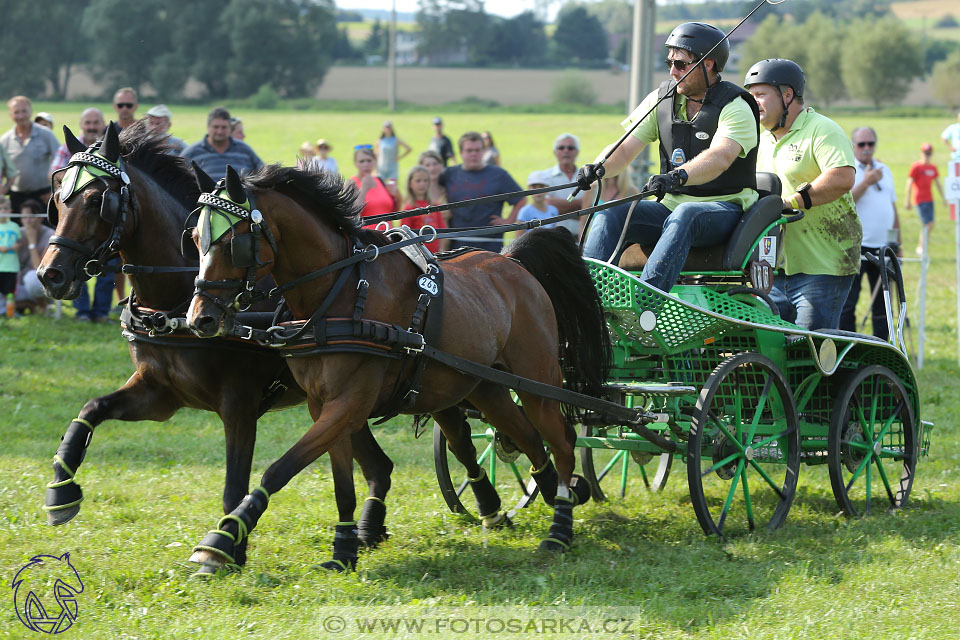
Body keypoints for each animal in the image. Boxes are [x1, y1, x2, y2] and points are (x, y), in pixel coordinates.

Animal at [36, 122, 416, 572]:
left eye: (98, 201)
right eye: (57, 199)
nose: (50, 274)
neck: (178, 299)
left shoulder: (239, 406)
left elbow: (235, 485)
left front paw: (224, 549)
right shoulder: (160, 395)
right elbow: (89, 410)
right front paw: (61, 491)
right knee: (379, 465)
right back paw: (367, 531)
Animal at [184, 165, 612, 568]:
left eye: (233, 242)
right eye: (195, 241)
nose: (200, 319)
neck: (340, 292)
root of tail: (512, 263)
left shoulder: (349, 403)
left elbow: (280, 468)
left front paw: (220, 540)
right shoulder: (323, 405)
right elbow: (342, 483)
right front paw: (344, 548)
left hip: (536, 381)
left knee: (562, 442)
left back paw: (559, 529)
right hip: (486, 388)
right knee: (531, 441)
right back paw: (556, 494)